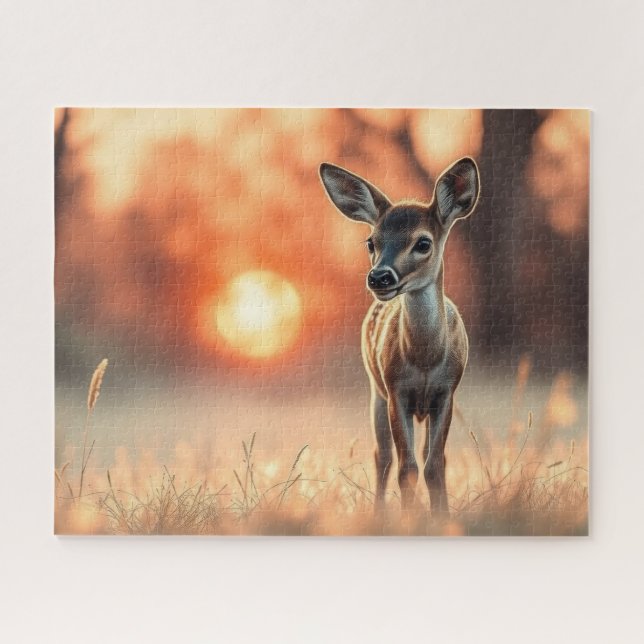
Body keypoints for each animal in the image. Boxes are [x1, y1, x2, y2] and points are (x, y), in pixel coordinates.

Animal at [319, 157, 480, 515]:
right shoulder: (396, 391)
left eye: (423, 243)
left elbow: (435, 465)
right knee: (383, 457)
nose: (380, 277)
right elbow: (407, 469)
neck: (425, 359)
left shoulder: (447, 392)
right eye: (371, 242)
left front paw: (441, 518)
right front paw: (410, 518)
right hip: (375, 391)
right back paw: (379, 514)